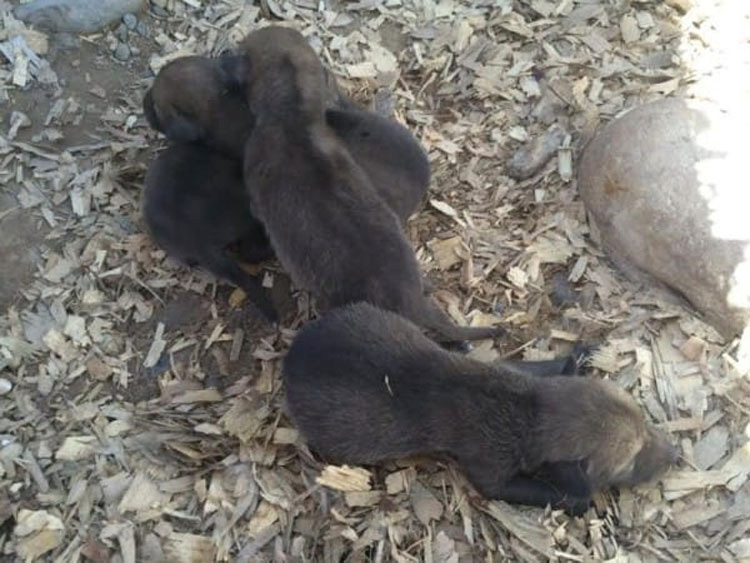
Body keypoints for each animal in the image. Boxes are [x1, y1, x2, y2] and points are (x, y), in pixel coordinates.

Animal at [284, 304, 680, 516]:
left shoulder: (513, 373)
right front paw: (575, 500)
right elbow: (517, 488)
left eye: (646, 424)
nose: (675, 455)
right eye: (629, 462)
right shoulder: (490, 470)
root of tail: (293, 354)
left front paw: (578, 358)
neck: (526, 412)